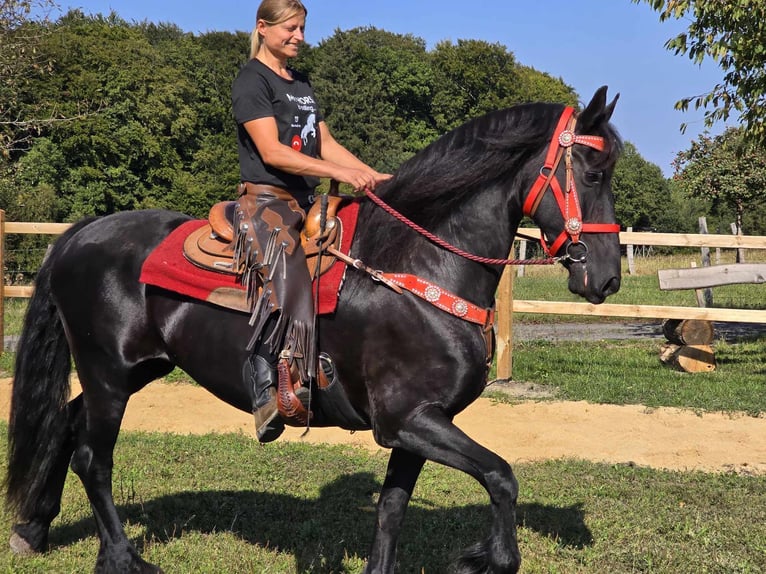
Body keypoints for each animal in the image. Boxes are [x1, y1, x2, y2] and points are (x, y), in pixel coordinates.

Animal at [4, 88, 624, 572]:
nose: (607, 277)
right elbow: (501, 476)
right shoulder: (409, 421)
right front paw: (486, 558)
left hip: (133, 371)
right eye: (594, 173)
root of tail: (81, 233)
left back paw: (34, 529)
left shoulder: (418, 424)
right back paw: (120, 558)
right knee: (93, 457)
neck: (417, 266)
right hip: (109, 375)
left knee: (66, 423)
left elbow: (392, 510)